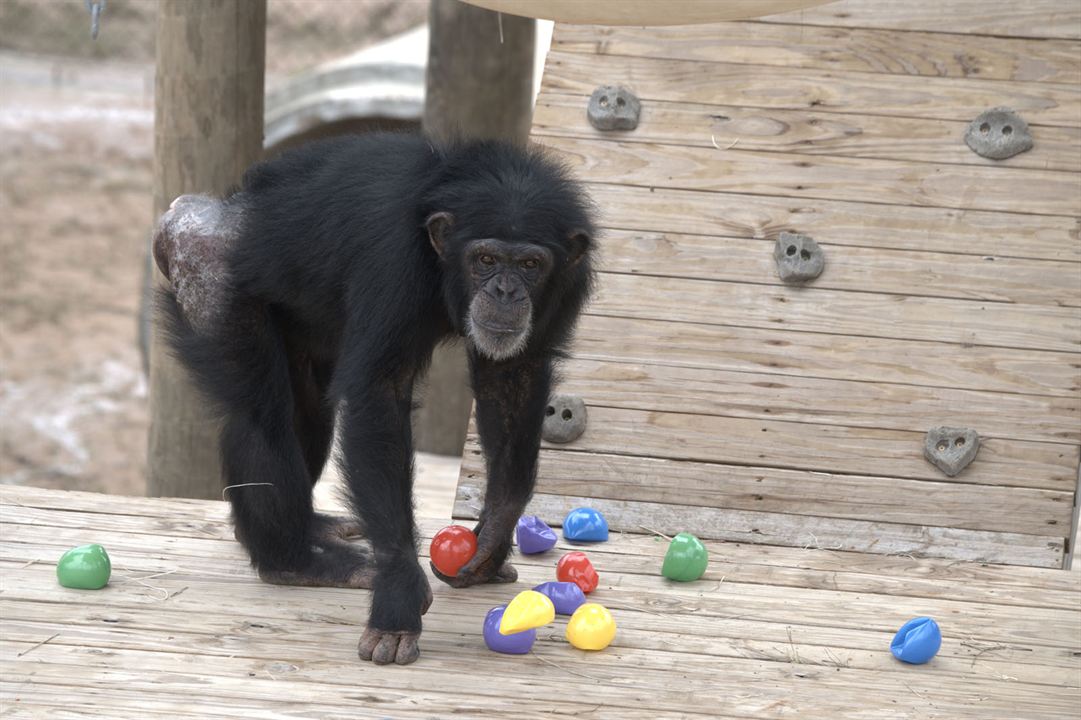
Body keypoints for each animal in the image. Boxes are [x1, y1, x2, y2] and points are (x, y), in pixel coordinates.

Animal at [153, 132, 596, 661]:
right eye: (486, 259)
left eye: (530, 264)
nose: (506, 291)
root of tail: (187, 211)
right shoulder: (393, 260)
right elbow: (378, 396)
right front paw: (398, 598)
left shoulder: (564, 284)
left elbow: (513, 376)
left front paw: (490, 538)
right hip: (208, 274)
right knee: (261, 417)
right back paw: (295, 561)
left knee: (308, 414)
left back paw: (310, 529)